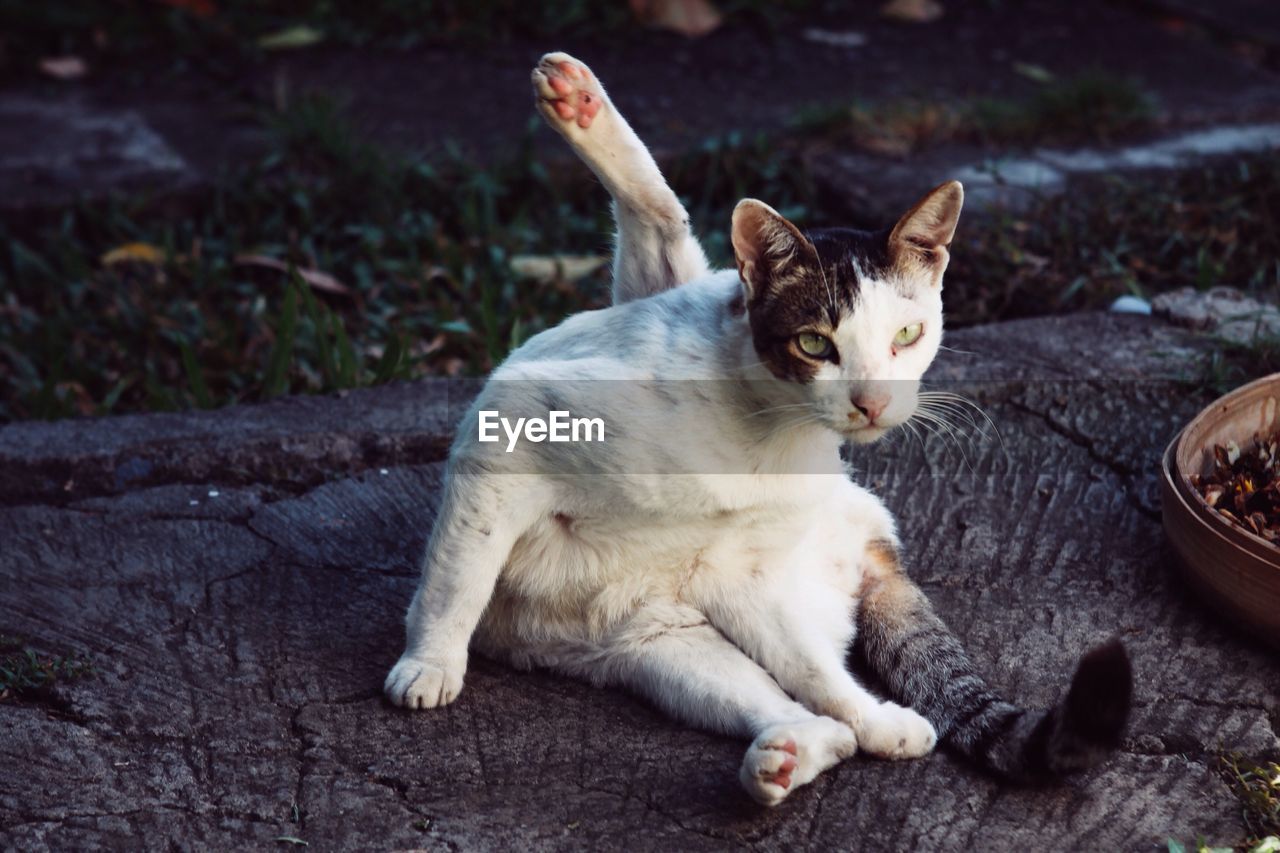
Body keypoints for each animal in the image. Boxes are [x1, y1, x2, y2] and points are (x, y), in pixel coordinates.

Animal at [384, 53, 1136, 804]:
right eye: (814, 344)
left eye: (906, 335)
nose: (871, 402)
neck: (767, 430)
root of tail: (871, 530)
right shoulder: (507, 437)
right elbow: (459, 574)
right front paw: (431, 661)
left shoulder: (741, 564)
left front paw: (427, 663)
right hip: (667, 637)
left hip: (723, 610)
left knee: (821, 690)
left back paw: (853, 736)